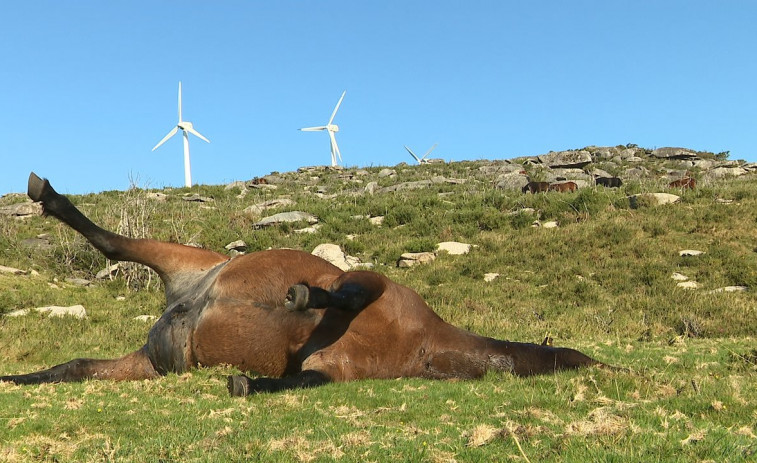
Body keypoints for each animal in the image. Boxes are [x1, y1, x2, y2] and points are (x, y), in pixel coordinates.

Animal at [0, 172, 604, 396]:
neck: (427, 344)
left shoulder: (329, 370)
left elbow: (296, 381)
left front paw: (245, 383)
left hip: (157, 345)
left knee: (79, 356)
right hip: (193, 264)